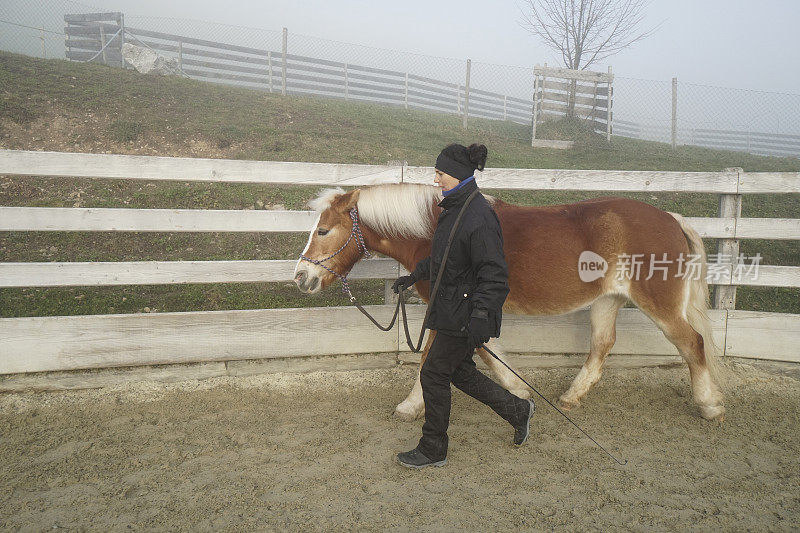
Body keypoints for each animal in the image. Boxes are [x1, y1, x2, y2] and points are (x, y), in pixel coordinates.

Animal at [294, 183, 724, 420]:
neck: (438, 231)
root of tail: (670, 217)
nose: (301, 277)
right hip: (608, 300)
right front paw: (518, 390)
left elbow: (431, 357)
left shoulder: (448, 308)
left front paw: (410, 407)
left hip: (659, 305)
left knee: (693, 344)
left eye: (324, 230)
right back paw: (572, 396)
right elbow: (486, 350)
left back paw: (710, 406)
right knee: (602, 345)